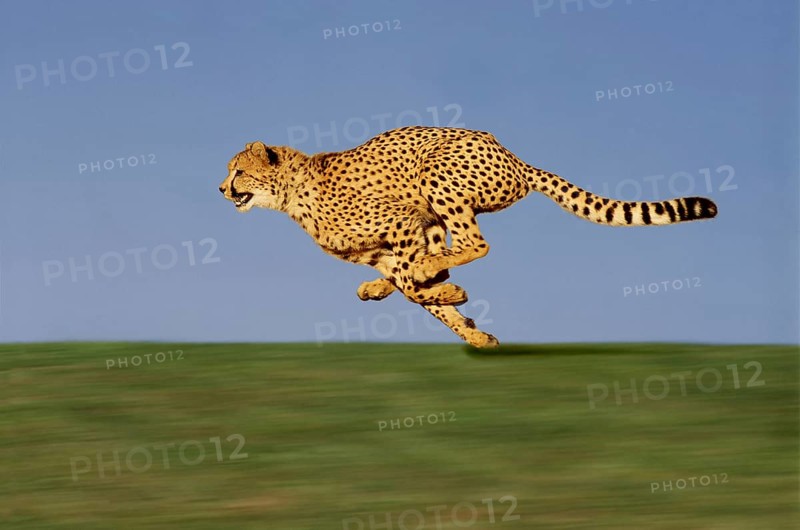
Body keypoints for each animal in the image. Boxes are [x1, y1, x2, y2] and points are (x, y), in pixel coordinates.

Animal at [218, 126, 717, 348]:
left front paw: (455, 300)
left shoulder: (402, 221)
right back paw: (383, 288)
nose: (221, 189)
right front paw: (473, 331)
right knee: (449, 250)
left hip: (435, 174)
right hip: (436, 212)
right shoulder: (390, 245)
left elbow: (416, 284)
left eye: (238, 171)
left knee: (476, 243)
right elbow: (414, 289)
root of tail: (514, 157)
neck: (292, 192)